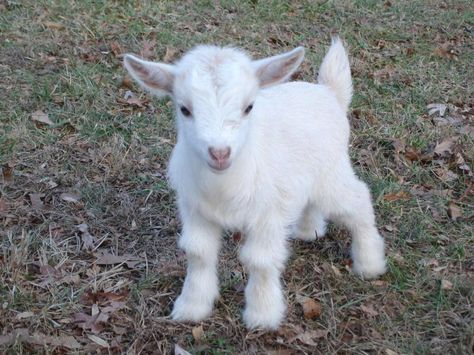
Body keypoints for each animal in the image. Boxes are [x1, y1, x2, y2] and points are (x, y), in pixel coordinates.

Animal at [124, 38, 386, 330]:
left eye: (249, 107)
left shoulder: (268, 214)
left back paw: (369, 262)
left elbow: (259, 260)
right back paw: (309, 231)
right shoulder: (195, 209)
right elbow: (199, 253)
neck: (224, 186)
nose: (219, 153)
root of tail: (329, 92)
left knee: (358, 200)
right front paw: (192, 306)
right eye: (184, 109)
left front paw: (262, 315)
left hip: (331, 174)